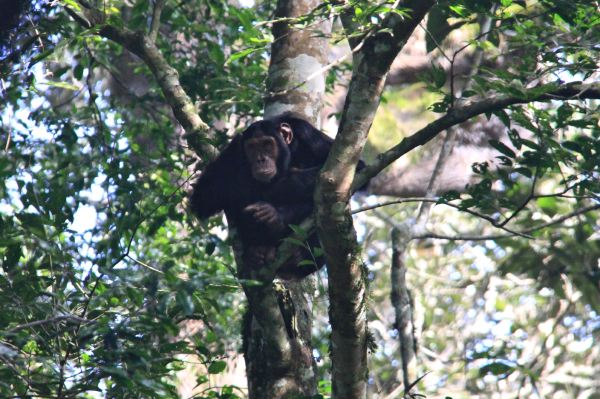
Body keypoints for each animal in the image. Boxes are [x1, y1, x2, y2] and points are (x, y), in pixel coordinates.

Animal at [192, 114, 360, 280]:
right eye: (252, 147)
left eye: (267, 144)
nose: (261, 159)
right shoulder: (233, 150)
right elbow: (204, 195)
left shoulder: (309, 135)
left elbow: (348, 173)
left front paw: (274, 212)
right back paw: (256, 252)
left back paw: (296, 257)